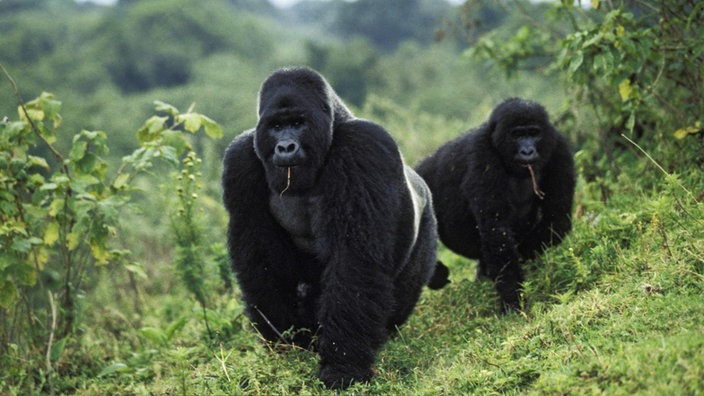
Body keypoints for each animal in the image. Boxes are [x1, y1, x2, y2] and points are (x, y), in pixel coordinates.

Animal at [223, 66, 448, 388]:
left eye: (297, 123)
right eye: (276, 126)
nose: (285, 146)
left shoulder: (363, 145)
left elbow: (353, 261)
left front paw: (343, 367)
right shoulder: (240, 159)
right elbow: (259, 261)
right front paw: (287, 344)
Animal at [416, 98, 576, 312]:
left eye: (534, 133)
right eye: (517, 135)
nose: (528, 151)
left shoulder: (559, 147)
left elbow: (556, 220)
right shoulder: (482, 153)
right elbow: (496, 231)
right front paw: (512, 299)